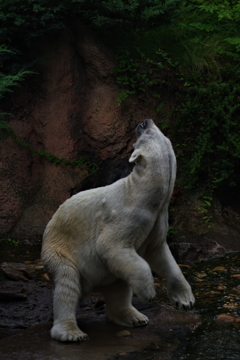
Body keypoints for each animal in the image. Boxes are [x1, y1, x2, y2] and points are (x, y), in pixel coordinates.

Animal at [41, 119, 195, 342]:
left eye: (151, 130)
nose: (144, 121)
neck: (145, 195)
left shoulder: (158, 219)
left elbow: (159, 253)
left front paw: (185, 299)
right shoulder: (125, 213)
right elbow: (110, 245)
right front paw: (149, 292)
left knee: (119, 286)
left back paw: (133, 317)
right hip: (58, 250)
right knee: (67, 282)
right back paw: (72, 332)